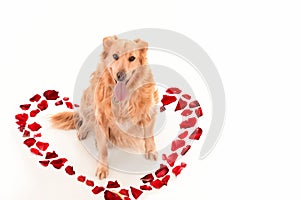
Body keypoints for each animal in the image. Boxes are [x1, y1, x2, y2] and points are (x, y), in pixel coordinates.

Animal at [51, 35, 159, 179]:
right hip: (87, 100)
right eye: (115, 56)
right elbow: (103, 150)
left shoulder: (148, 111)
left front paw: (151, 150)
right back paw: (83, 132)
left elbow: (149, 135)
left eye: (132, 58)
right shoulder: (101, 118)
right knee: (85, 121)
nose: (120, 75)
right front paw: (102, 167)